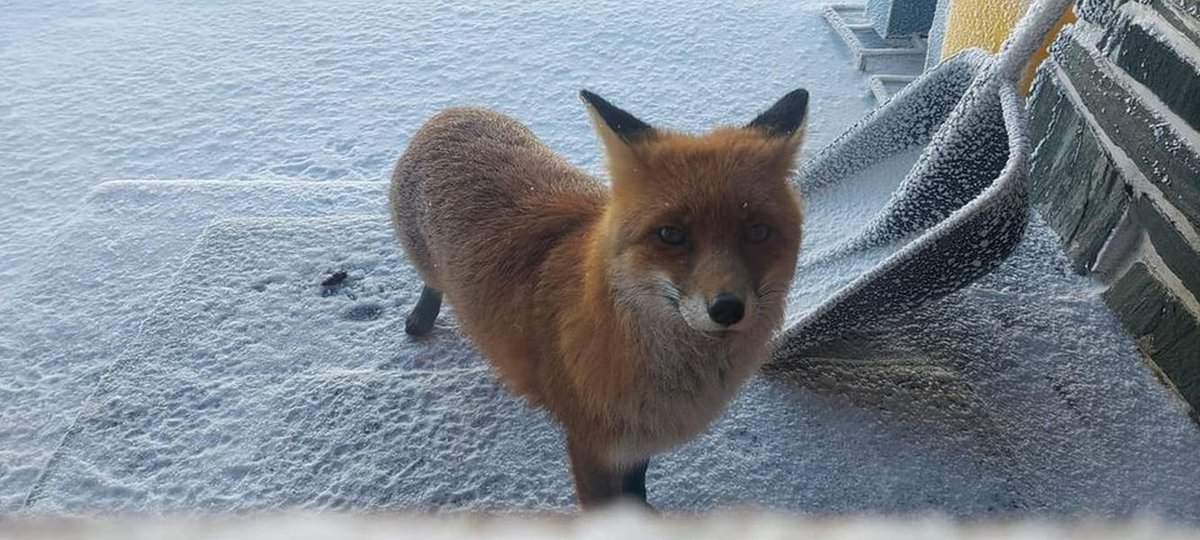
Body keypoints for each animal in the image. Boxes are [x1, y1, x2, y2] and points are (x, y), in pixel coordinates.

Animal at [391, 88, 806, 511]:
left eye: (757, 231)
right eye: (670, 235)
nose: (727, 309)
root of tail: (456, 111)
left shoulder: (635, 441)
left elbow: (636, 490)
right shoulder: (592, 447)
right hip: (426, 263)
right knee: (432, 283)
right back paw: (421, 319)